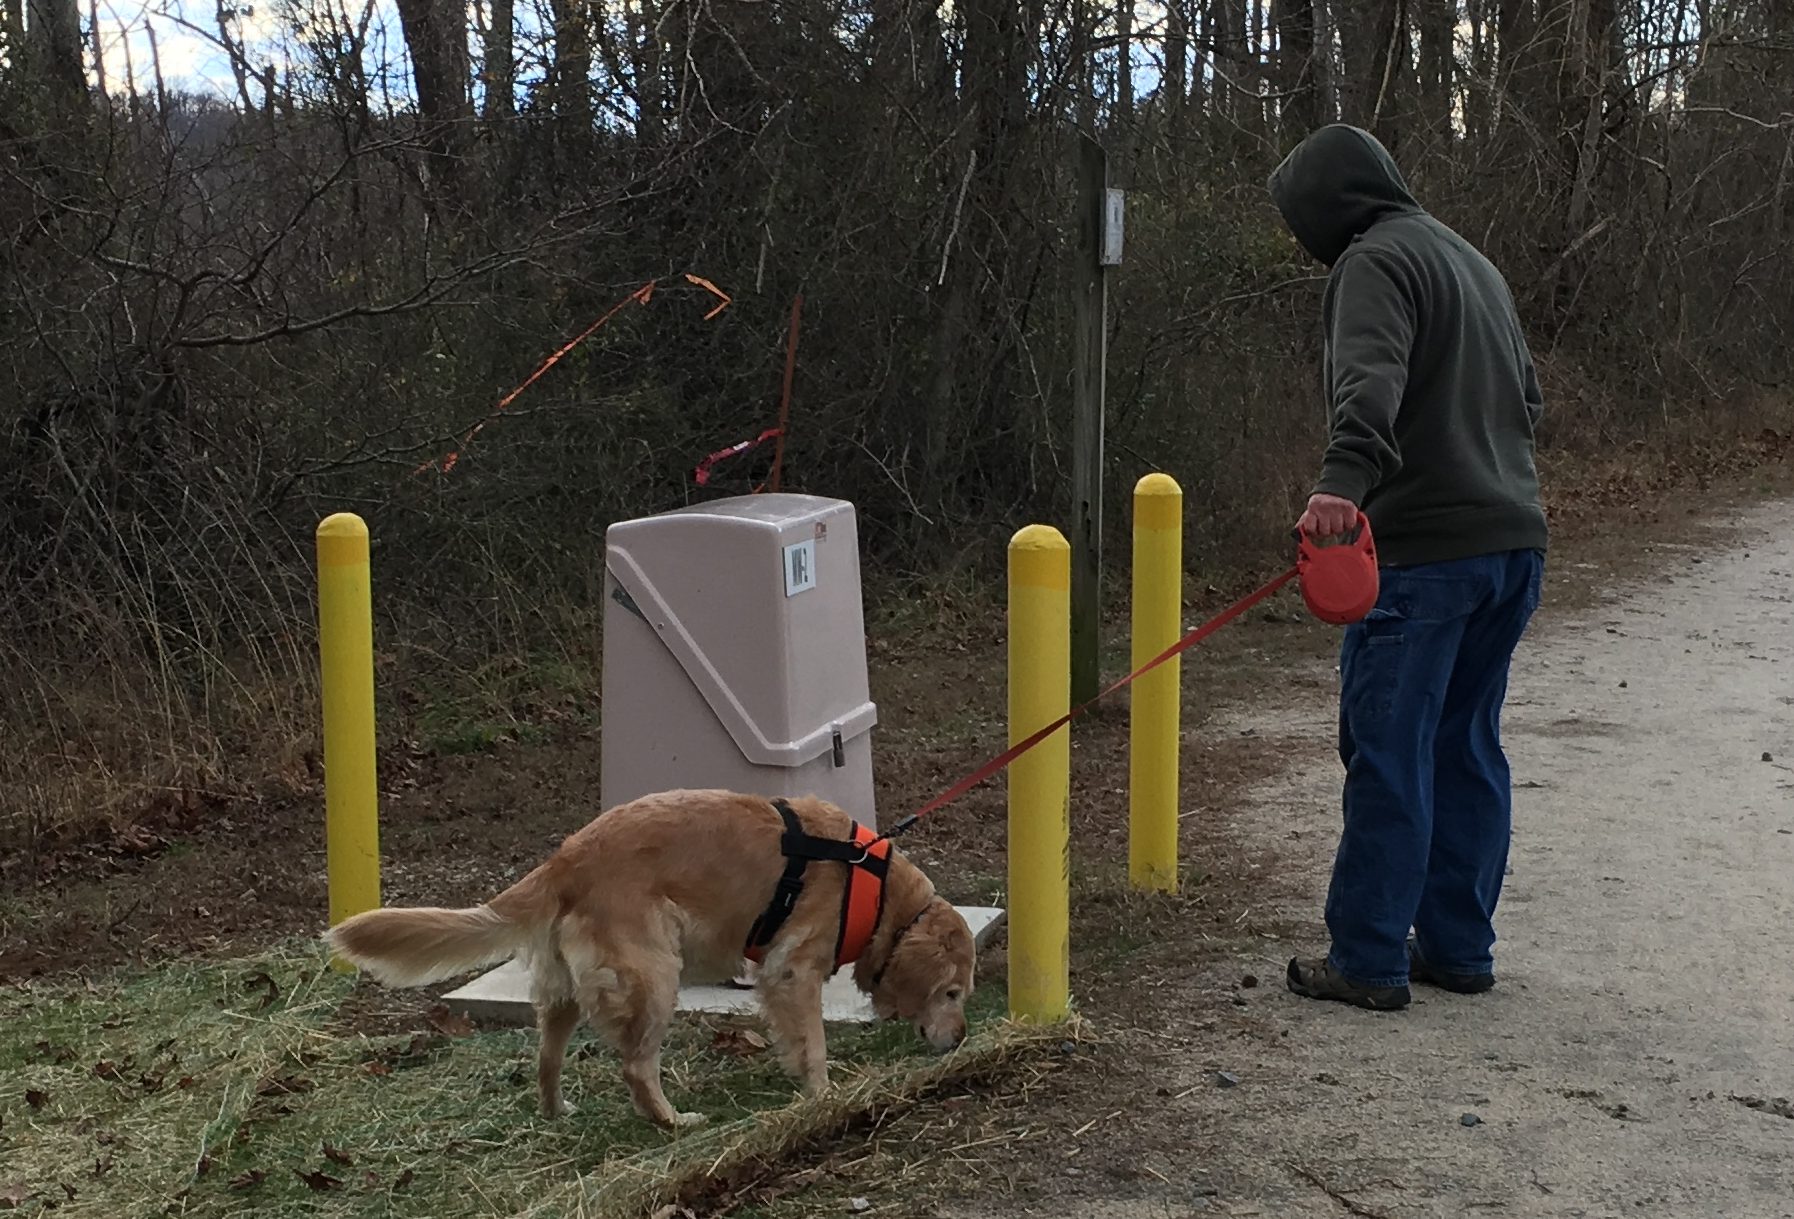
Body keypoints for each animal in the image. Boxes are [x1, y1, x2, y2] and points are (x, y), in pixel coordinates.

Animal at [325, 789, 976, 1128]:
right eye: (951, 993)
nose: (964, 1037)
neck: (874, 886)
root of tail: (564, 860)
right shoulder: (794, 969)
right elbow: (813, 1043)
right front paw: (824, 1095)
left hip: (567, 991)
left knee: (547, 1057)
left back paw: (557, 1111)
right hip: (657, 974)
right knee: (637, 1067)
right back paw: (672, 1121)